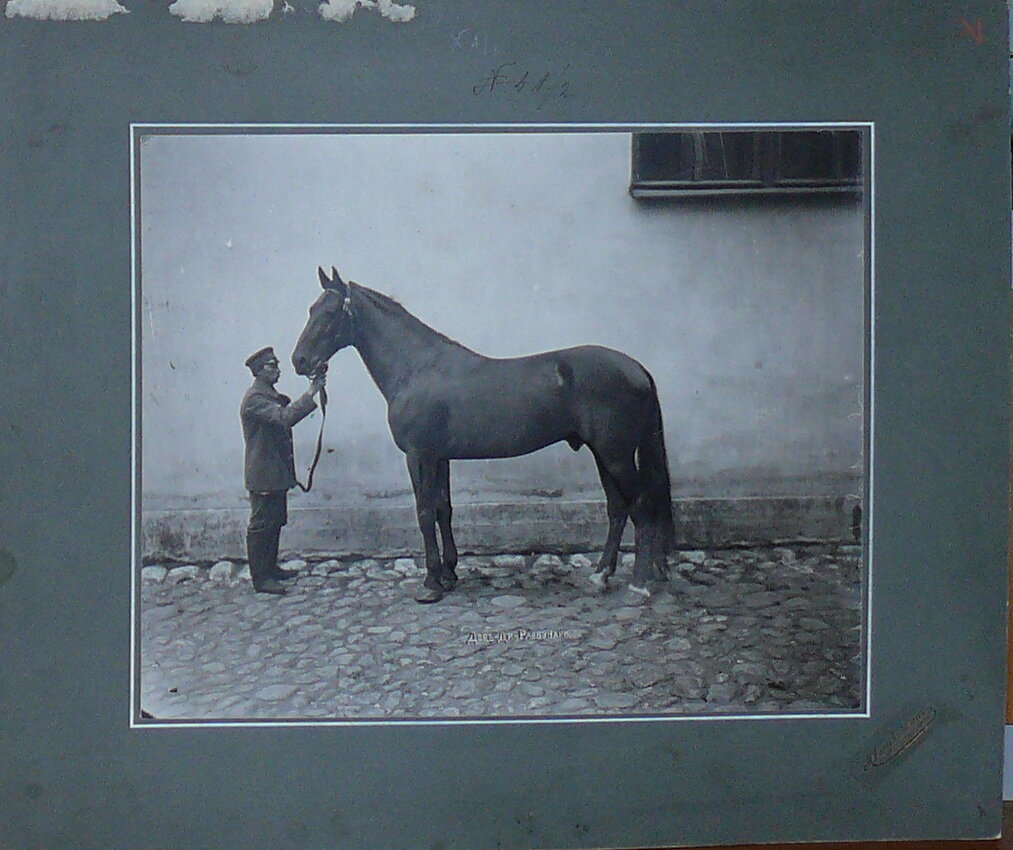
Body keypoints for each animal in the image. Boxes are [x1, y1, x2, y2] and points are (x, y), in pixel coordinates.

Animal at [292, 266, 675, 604]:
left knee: (642, 506)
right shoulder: (440, 456)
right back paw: (601, 576)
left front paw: (430, 584)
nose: (300, 361)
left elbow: (424, 512)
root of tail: (637, 368)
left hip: (615, 454)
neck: (417, 368)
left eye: (328, 312)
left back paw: (639, 586)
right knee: (618, 508)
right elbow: (443, 509)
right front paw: (448, 573)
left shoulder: (418, 455)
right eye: (309, 309)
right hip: (603, 453)